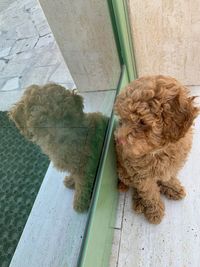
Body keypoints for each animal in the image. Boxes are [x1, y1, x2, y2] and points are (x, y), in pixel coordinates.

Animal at [114, 75, 198, 224]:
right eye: (123, 119)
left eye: (142, 122)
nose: (118, 140)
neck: (159, 150)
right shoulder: (140, 174)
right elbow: (149, 193)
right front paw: (155, 212)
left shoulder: (172, 165)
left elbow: (168, 177)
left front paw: (172, 187)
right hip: (124, 172)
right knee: (135, 187)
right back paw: (139, 201)